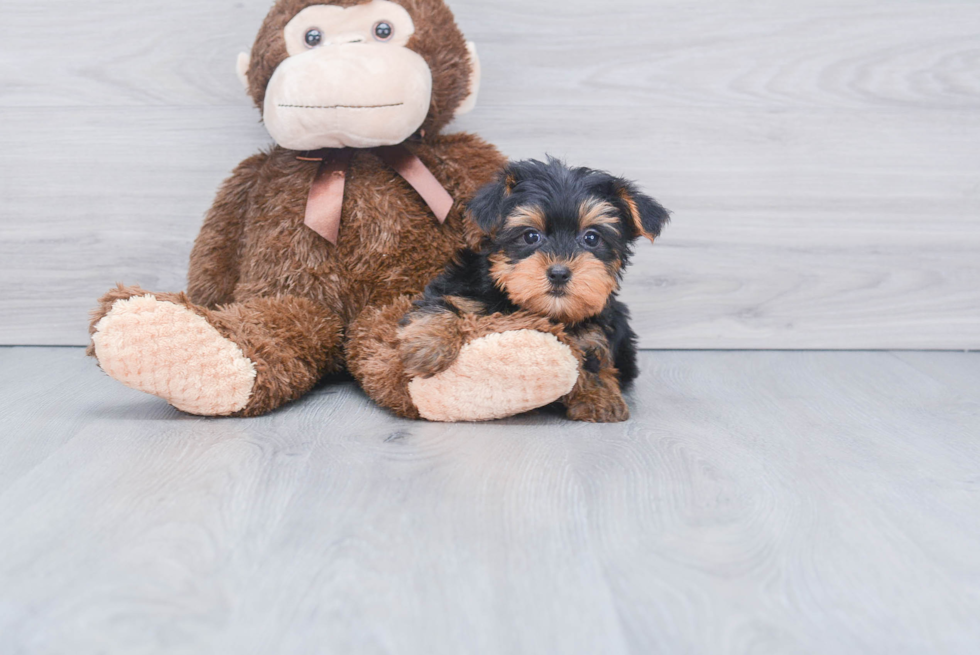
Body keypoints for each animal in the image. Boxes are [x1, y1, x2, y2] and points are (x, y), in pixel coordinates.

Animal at [396, 161, 668, 422]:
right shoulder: (460, 284)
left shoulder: (597, 323)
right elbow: (439, 304)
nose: (559, 273)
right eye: (530, 236)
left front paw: (599, 398)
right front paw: (428, 348)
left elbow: (593, 356)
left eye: (591, 238)